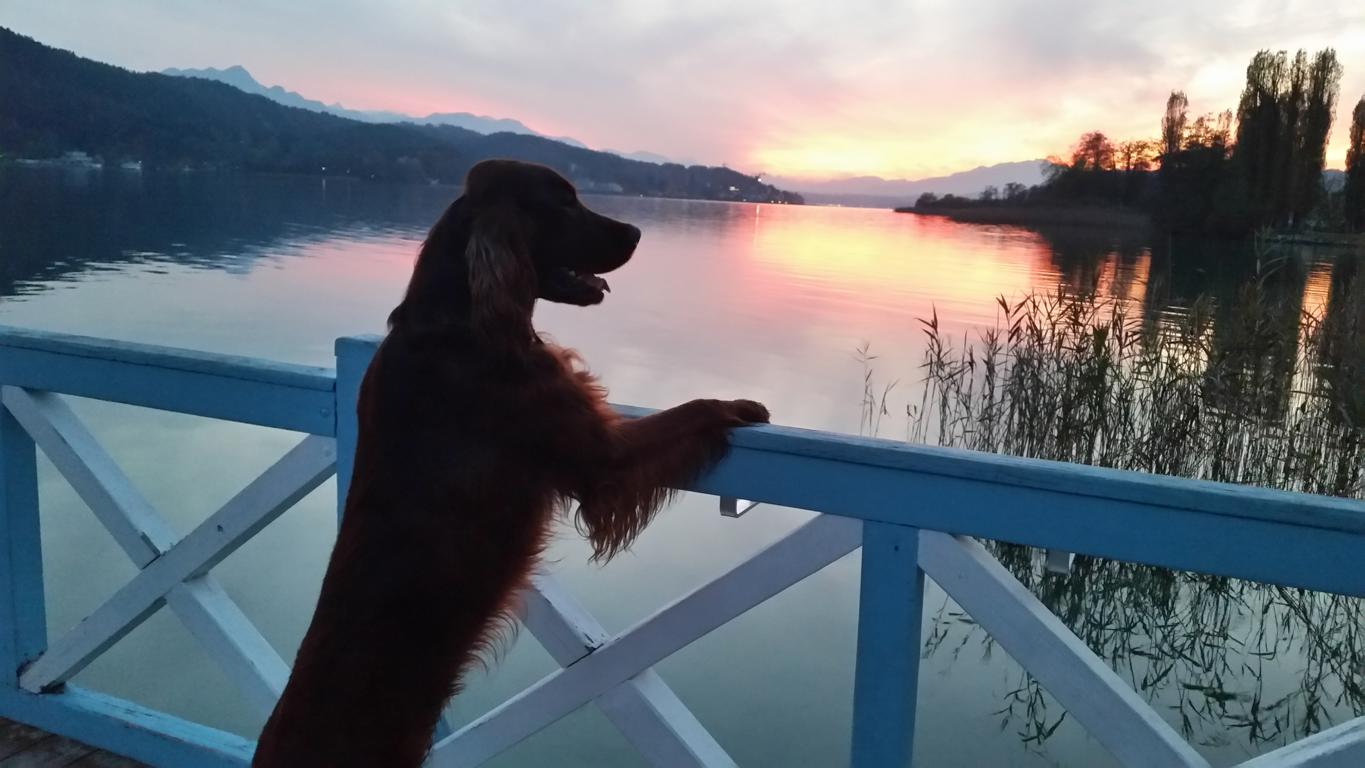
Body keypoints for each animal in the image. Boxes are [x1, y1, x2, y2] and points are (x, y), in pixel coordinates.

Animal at [253, 159, 769, 767]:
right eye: (564, 202)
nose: (636, 232)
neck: (457, 321)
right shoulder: (604, 459)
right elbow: (691, 412)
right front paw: (740, 406)